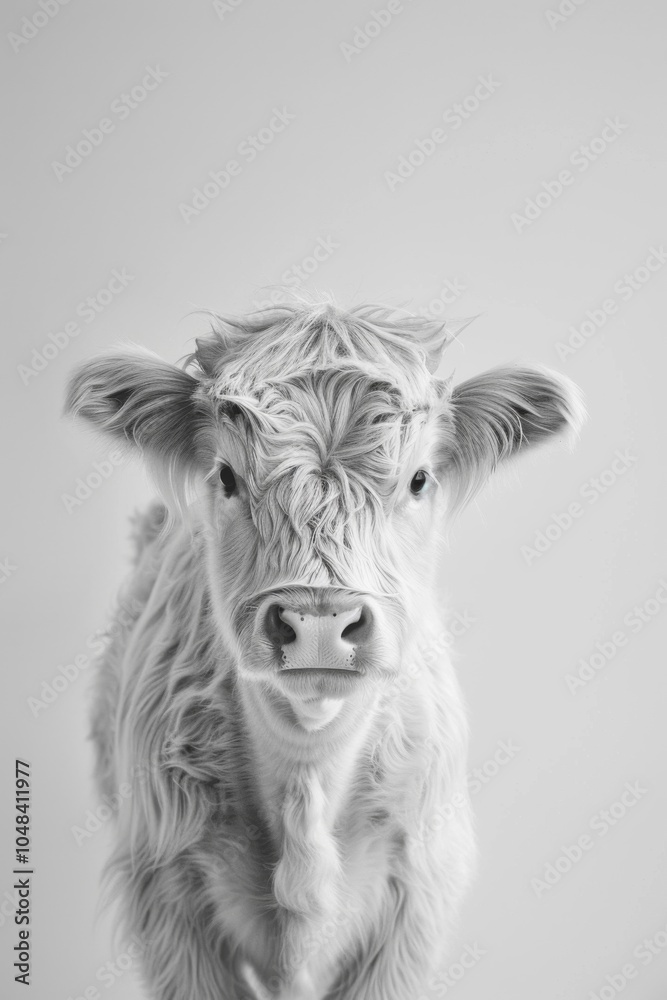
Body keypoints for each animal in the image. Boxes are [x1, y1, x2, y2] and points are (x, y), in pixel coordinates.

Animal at [65, 300, 584, 999]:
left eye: (419, 478)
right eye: (225, 475)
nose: (318, 622)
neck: (306, 776)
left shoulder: (417, 900)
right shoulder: (168, 895)